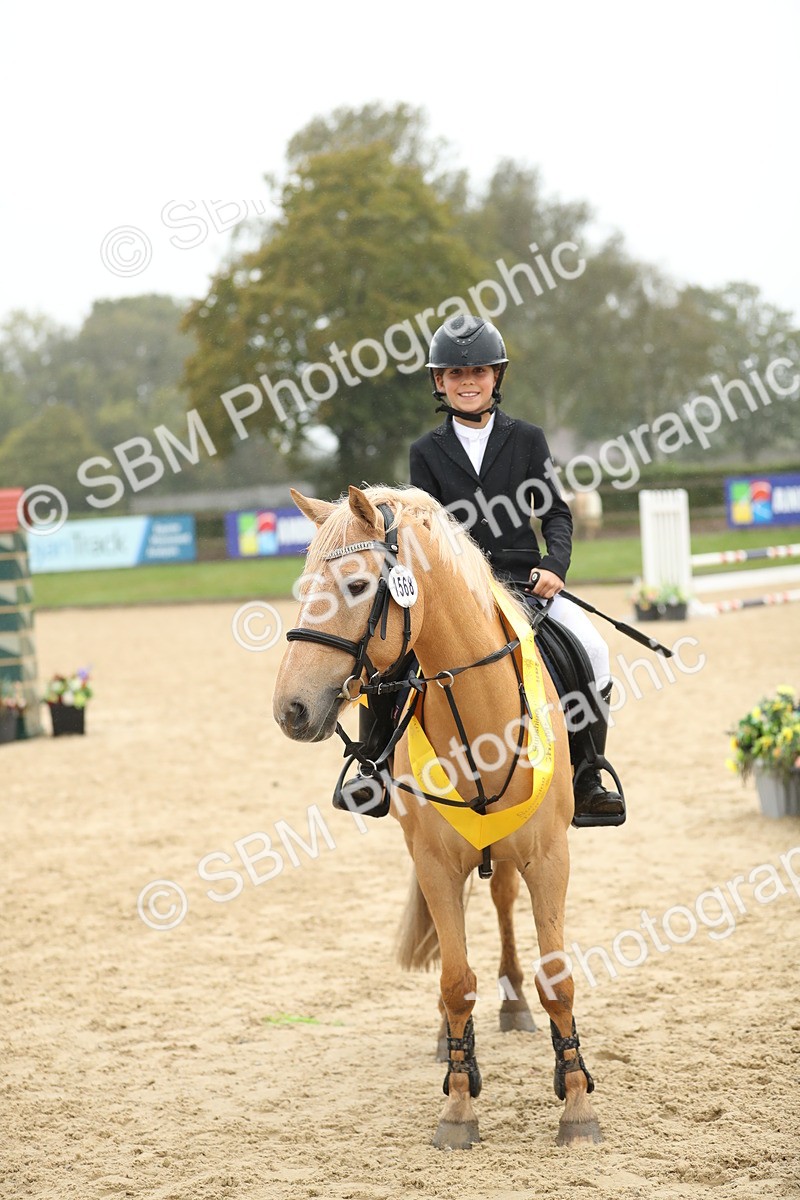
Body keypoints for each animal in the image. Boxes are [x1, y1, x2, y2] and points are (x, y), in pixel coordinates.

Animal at [273, 484, 603, 1150]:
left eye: (355, 585)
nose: (290, 709)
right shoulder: (435, 862)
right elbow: (455, 982)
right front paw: (457, 1104)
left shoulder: (549, 856)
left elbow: (557, 978)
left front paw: (577, 1103)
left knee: (501, 901)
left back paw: (513, 1006)